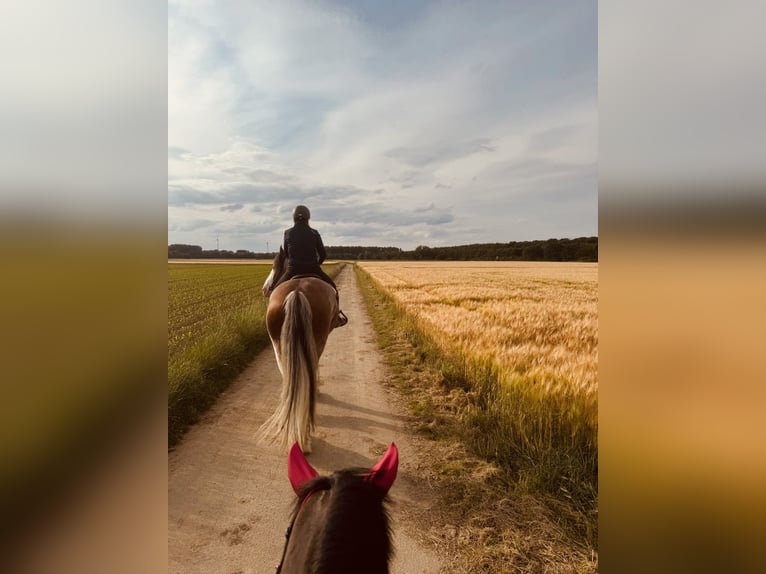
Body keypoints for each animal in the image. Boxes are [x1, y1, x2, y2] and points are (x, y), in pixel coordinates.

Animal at [258, 249, 340, 454]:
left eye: (274, 265)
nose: (264, 289)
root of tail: (297, 292)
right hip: (317, 340)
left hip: (277, 342)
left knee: (287, 371)